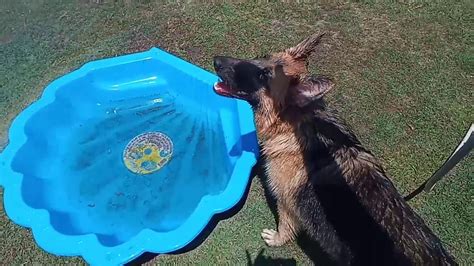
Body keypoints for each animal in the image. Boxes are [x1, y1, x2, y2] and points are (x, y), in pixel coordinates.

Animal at [212, 32, 456, 264]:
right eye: (261, 57)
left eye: (263, 76)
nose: (216, 60)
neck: (300, 123)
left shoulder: (287, 203)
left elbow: (285, 226)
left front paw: (277, 239)